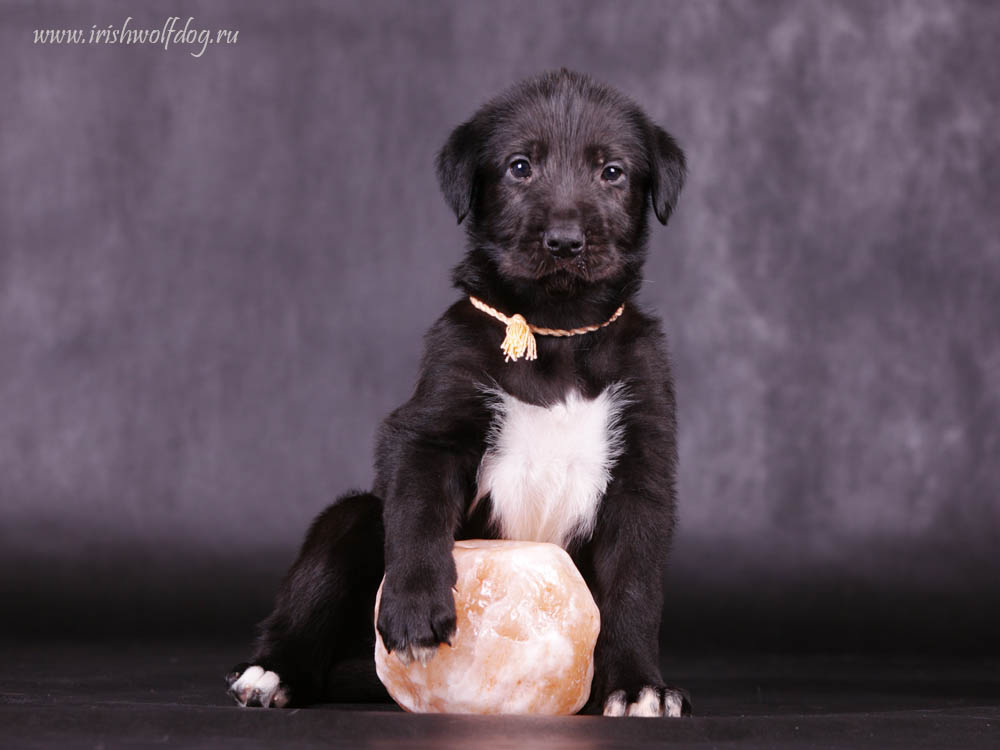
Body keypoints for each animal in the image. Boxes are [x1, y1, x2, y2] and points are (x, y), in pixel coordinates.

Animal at [229, 69, 692, 716]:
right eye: (520, 167)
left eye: (612, 171)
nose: (565, 240)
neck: (557, 332)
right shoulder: (429, 427)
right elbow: (420, 514)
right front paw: (416, 610)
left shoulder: (642, 464)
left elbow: (635, 585)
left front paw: (637, 685)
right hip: (349, 521)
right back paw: (271, 672)